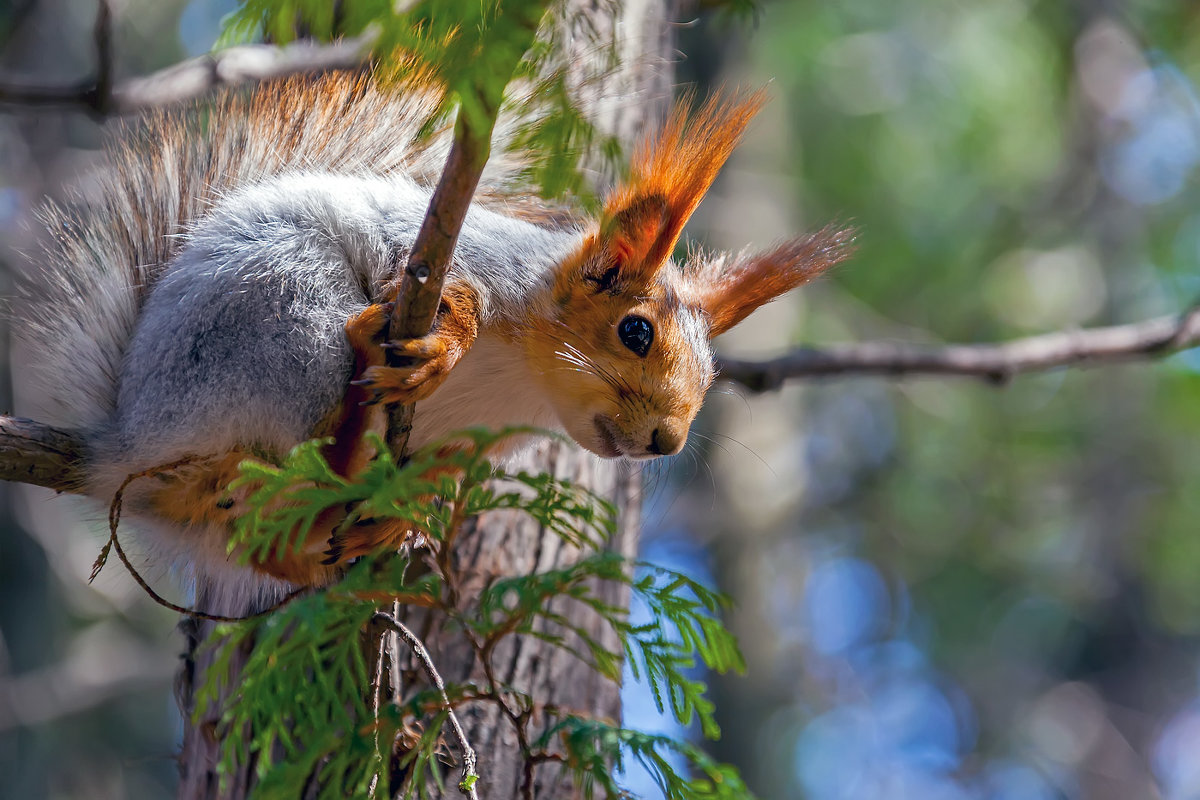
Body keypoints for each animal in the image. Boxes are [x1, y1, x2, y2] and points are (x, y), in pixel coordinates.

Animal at [14, 68, 849, 604]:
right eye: (636, 331)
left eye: (711, 381)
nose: (667, 441)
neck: (522, 391)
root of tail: (131, 442)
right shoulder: (426, 255)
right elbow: (438, 287)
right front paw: (448, 339)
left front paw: (408, 504)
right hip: (282, 328)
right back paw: (353, 408)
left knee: (266, 548)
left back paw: (358, 520)